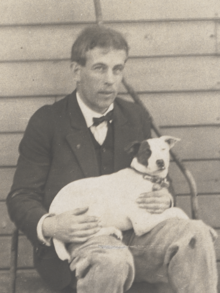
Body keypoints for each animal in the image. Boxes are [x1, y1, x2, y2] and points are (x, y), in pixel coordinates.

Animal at [49, 136, 187, 262]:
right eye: (147, 152)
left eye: (163, 149)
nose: (160, 162)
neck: (145, 176)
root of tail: (54, 211)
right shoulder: (142, 223)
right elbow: (175, 210)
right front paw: (185, 216)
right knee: (85, 234)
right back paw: (111, 230)